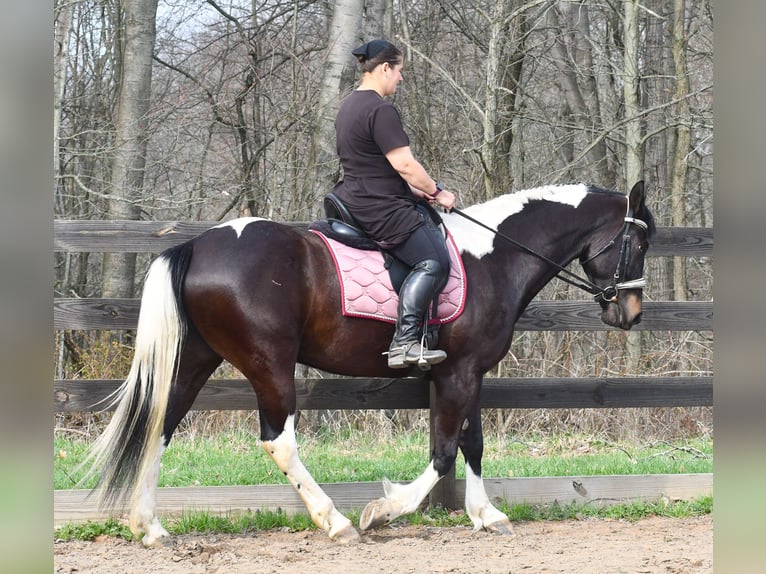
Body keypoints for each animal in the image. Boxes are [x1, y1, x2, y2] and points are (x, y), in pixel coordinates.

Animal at [83, 181, 654, 545]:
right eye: (640, 241)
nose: (630, 313)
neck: (494, 257)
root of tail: (198, 246)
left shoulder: (469, 371)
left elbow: (472, 443)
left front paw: (486, 514)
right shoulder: (457, 373)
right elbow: (444, 452)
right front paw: (384, 510)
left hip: (197, 359)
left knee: (159, 425)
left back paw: (150, 527)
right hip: (270, 363)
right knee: (279, 440)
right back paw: (334, 521)